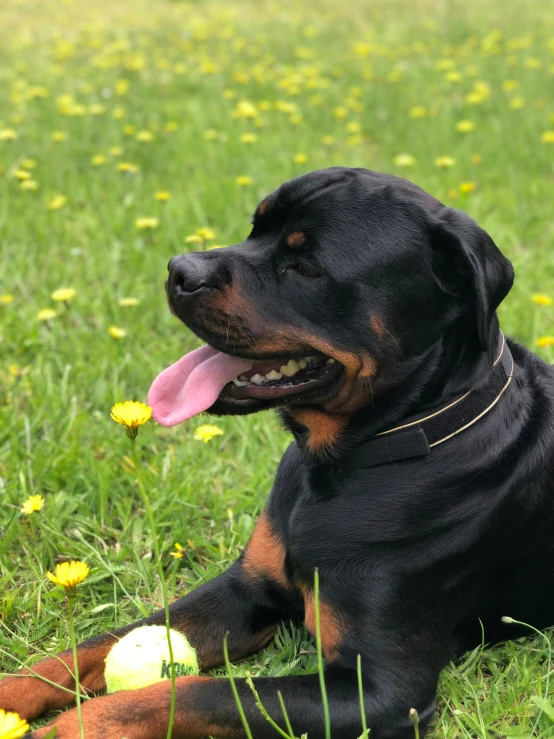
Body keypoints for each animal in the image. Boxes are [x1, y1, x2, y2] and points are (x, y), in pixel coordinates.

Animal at [3, 169, 552, 739]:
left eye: (306, 266)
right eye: (254, 229)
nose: (180, 270)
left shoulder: (380, 690)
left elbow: (189, 693)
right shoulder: (246, 590)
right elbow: (87, 649)